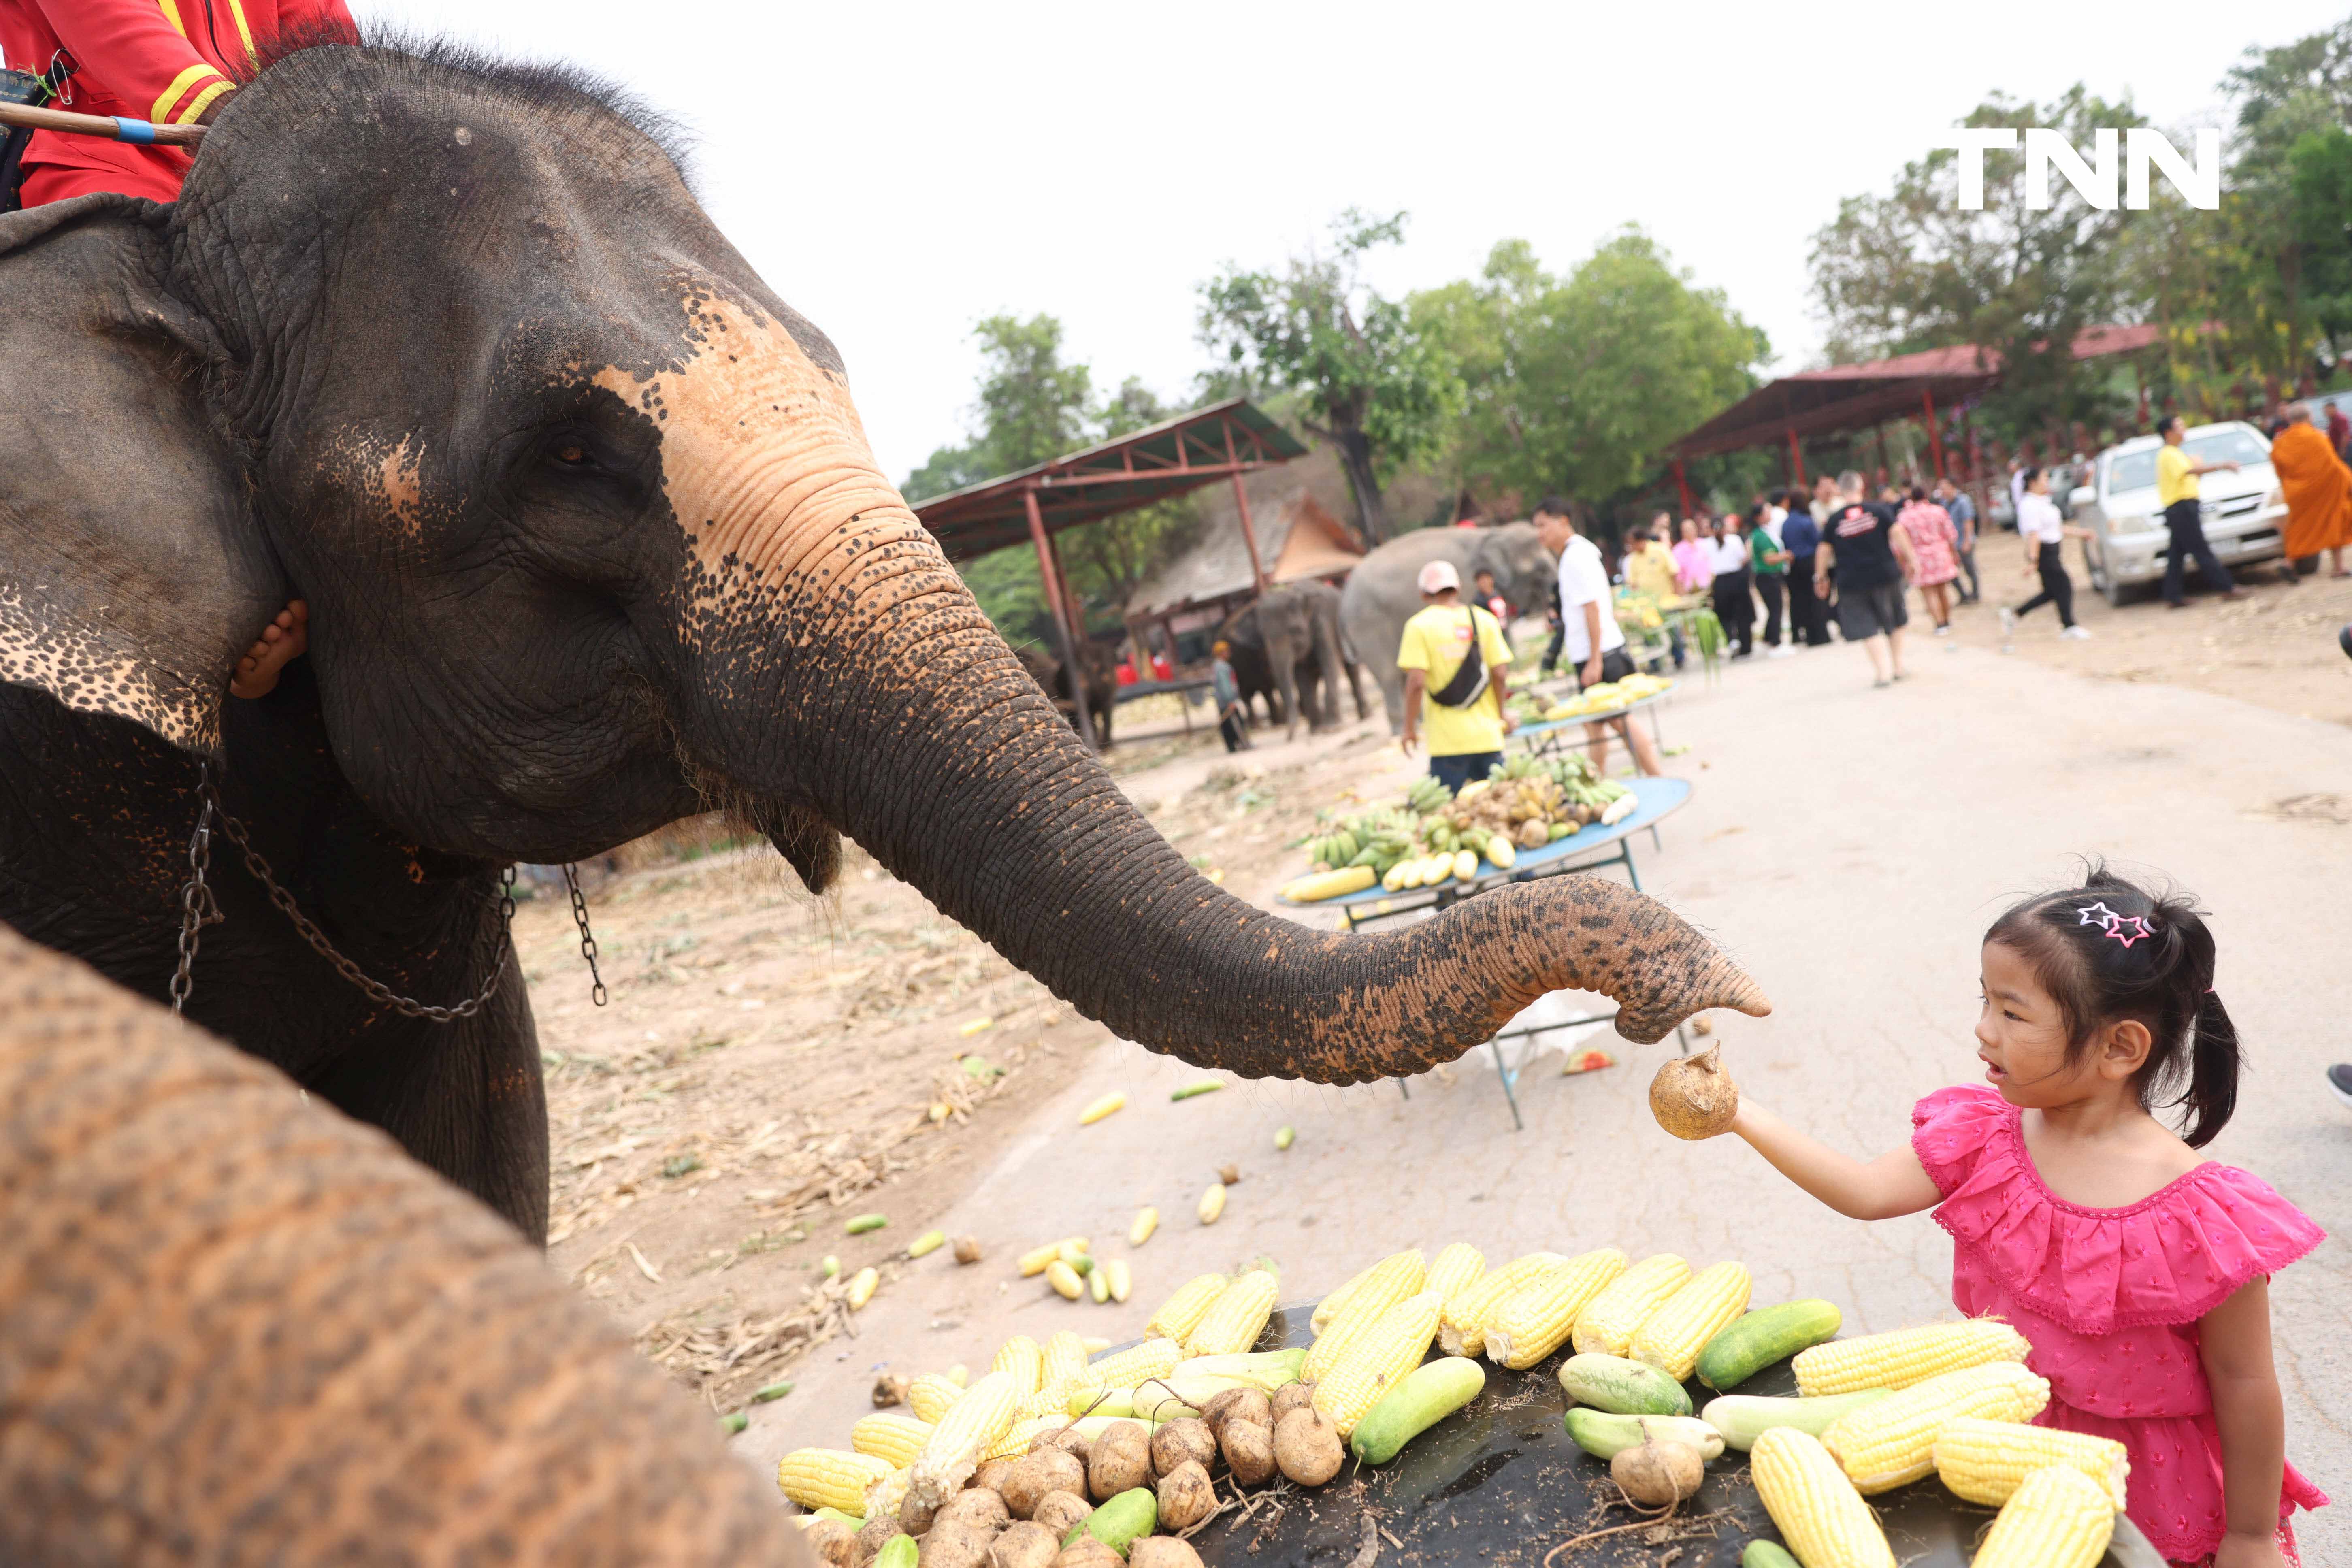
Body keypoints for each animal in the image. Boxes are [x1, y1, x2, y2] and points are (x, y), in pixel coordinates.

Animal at [1223, 583, 1373, 743]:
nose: (1289, 739)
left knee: (1352, 670)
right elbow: (1301, 677)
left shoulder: (1323, 624)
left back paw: (1365, 716)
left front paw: (1332, 729)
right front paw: (1316, 731)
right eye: (1263, 636)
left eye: (1296, 631)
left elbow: (1330, 665)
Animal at [1345, 522, 1562, 729]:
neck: (1492, 533)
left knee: (1405, 675)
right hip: (1368, 625)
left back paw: (1418, 725)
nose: (1550, 623)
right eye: (1540, 571)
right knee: (1389, 675)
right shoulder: (1467, 584)